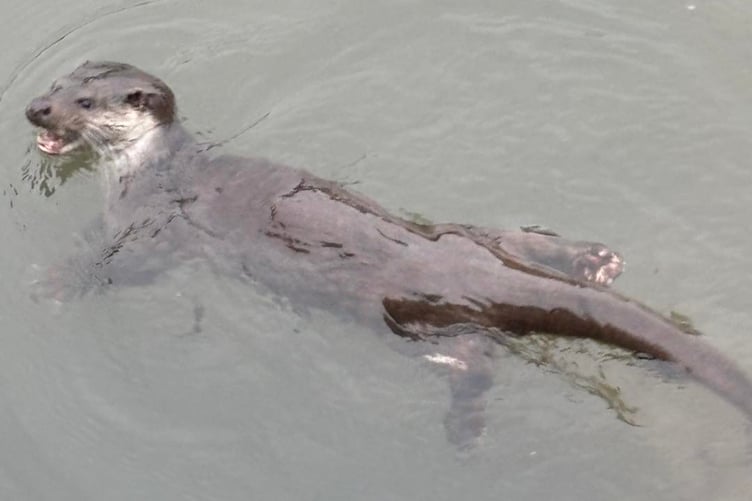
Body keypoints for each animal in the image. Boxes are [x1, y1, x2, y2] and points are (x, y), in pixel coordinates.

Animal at [25, 61, 752, 446]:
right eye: (54, 82)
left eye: (82, 99)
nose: (35, 110)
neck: (153, 170)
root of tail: (467, 268)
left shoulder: (157, 229)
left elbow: (126, 269)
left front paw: (57, 282)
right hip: (469, 237)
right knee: (518, 239)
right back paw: (595, 260)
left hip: (406, 315)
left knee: (471, 357)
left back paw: (463, 428)